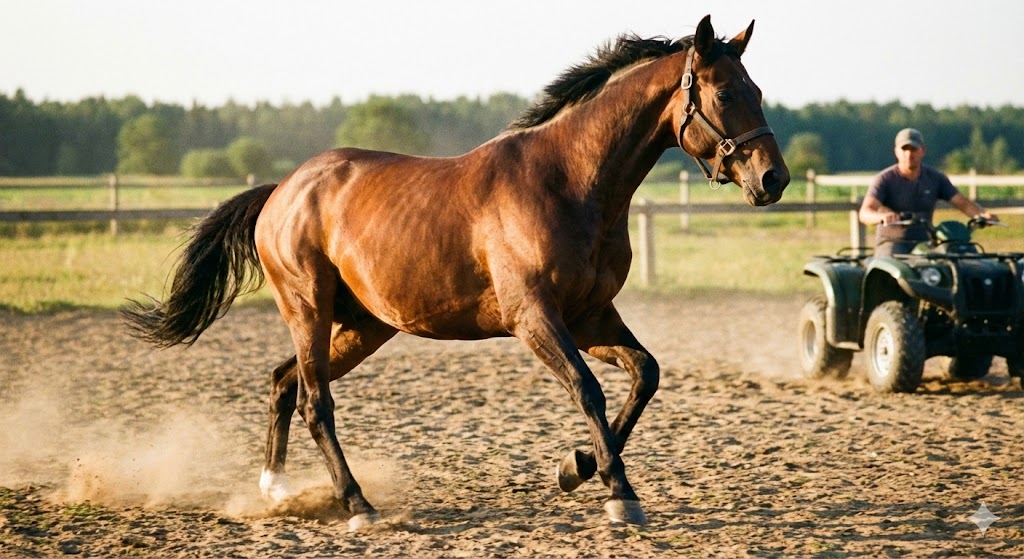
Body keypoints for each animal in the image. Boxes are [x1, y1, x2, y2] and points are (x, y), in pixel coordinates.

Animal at [123, 15, 789, 529]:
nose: (772, 179)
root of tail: (283, 190)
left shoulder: (591, 315)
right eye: (725, 95)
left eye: (757, 89)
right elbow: (588, 389)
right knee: (315, 401)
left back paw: (278, 490)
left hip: (363, 326)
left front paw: (575, 468)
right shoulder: (534, 318)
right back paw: (358, 505)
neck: (569, 183)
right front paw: (617, 493)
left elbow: (644, 375)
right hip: (308, 310)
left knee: (285, 383)